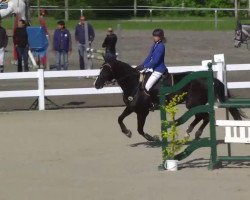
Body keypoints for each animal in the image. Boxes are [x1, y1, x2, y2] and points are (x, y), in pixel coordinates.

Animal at [94, 59, 245, 142]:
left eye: (105, 71)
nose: (96, 84)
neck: (133, 83)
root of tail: (209, 79)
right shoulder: (134, 109)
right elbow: (123, 120)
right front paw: (130, 133)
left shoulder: (141, 111)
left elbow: (137, 128)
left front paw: (147, 137)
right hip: (194, 104)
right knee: (202, 117)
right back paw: (190, 131)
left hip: (193, 103)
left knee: (205, 116)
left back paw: (193, 131)